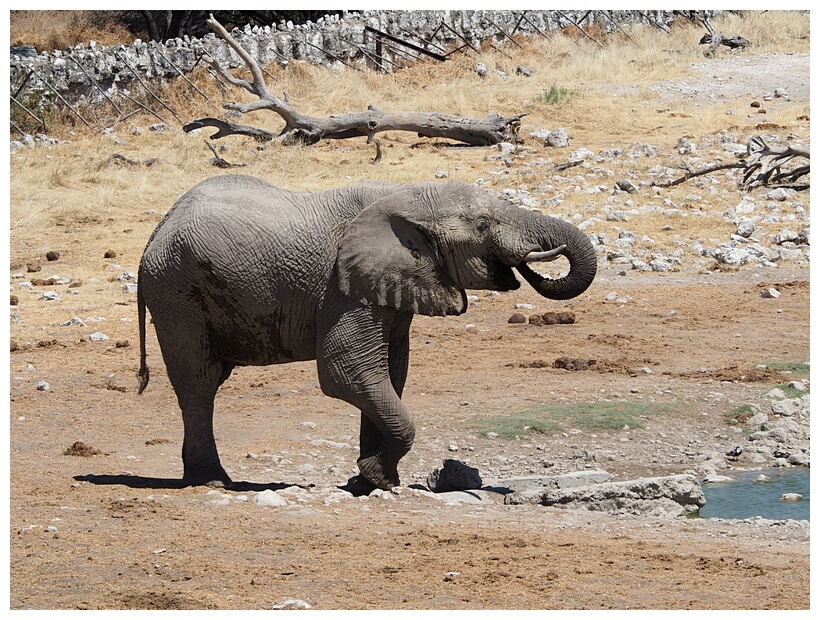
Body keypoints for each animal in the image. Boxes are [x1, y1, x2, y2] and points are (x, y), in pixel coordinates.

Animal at [136, 173, 596, 490]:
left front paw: (370, 482)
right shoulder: (342, 286)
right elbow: (347, 372)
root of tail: (157, 230)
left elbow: (389, 374)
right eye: (482, 225)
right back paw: (211, 481)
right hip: (176, 290)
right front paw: (376, 477)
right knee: (199, 381)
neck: (408, 195)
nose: (529, 264)